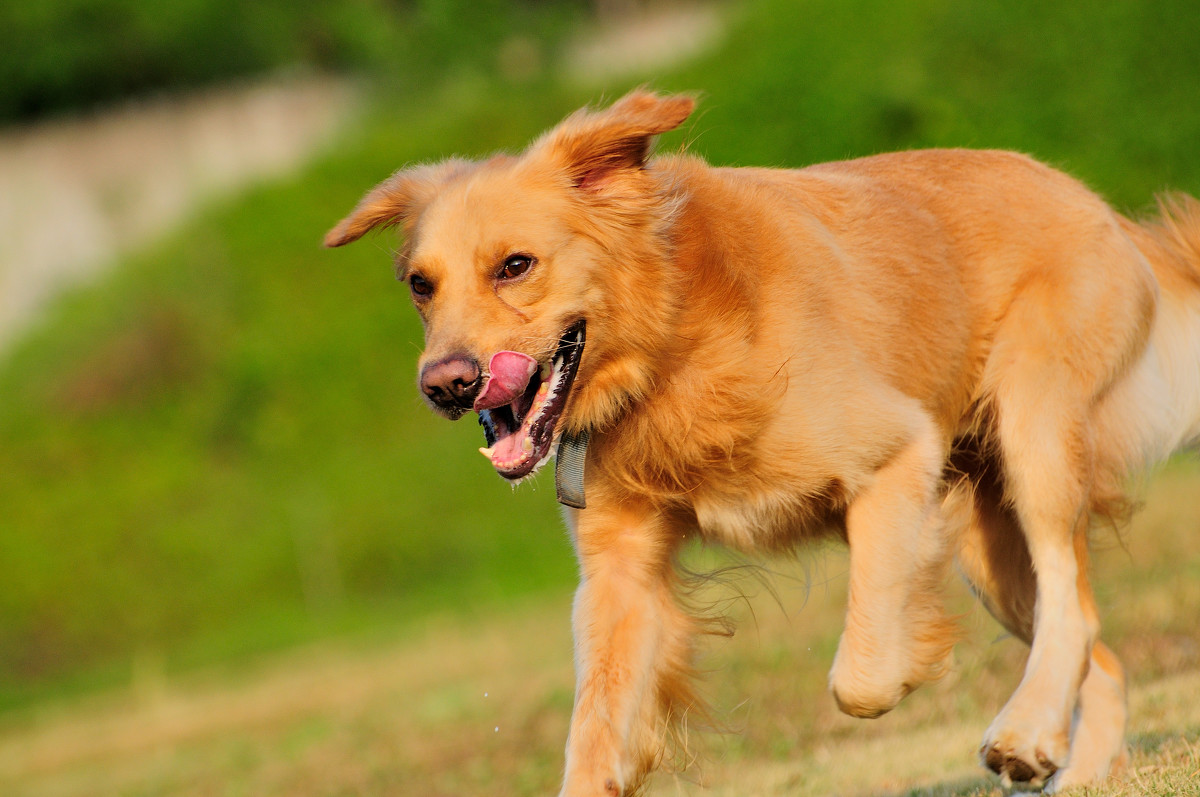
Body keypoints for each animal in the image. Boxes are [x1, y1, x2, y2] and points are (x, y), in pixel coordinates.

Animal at [328, 91, 1200, 792]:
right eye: (421, 284)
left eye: (515, 266)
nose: (445, 384)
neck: (670, 344)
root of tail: (1097, 205)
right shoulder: (618, 572)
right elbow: (595, 729)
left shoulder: (897, 452)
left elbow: (862, 675)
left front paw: (914, 658)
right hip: (991, 547)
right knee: (1092, 639)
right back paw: (1067, 758)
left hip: (1034, 436)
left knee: (1069, 600)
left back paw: (1023, 733)